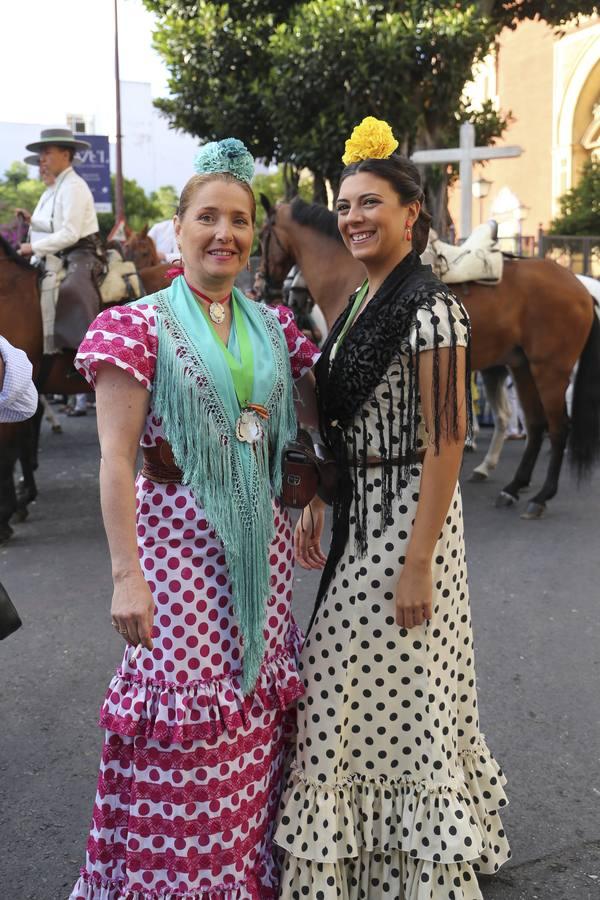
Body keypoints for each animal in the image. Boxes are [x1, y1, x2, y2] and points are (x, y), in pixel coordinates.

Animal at [258, 197, 600, 520]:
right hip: (521, 366)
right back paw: (513, 486)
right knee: (535, 424)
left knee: (558, 428)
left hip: (550, 370)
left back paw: (540, 496)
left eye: (264, 236)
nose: (277, 291)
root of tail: (579, 284)